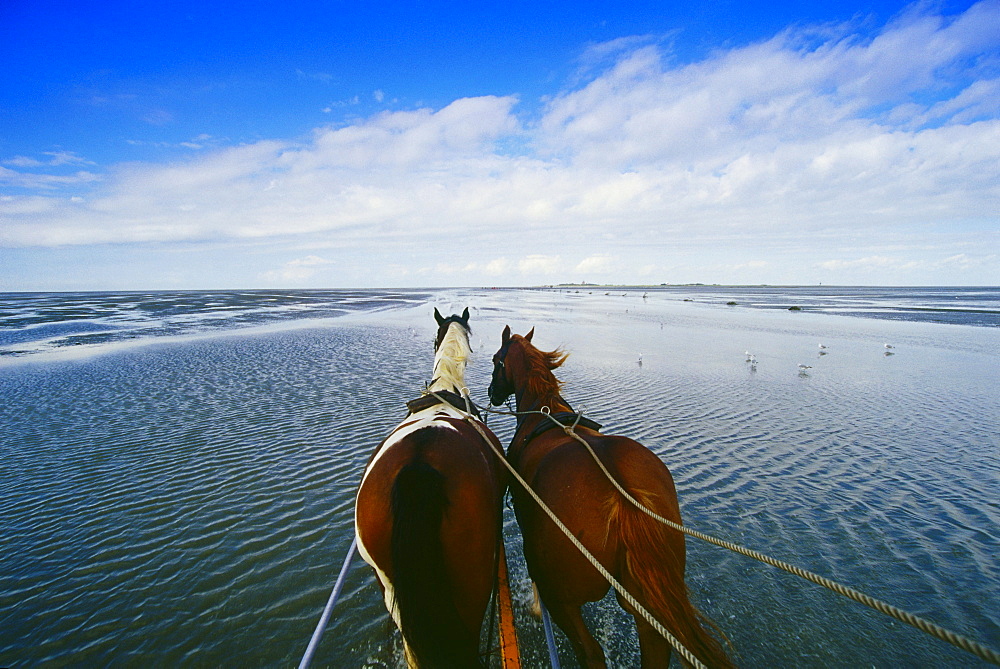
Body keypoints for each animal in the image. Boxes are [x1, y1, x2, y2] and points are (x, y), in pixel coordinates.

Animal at [488, 324, 732, 668]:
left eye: (496, 359)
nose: (491, 394)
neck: (544, 413)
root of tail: (621, 496)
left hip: (563, 599)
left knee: (590, 652)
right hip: (647, 605)